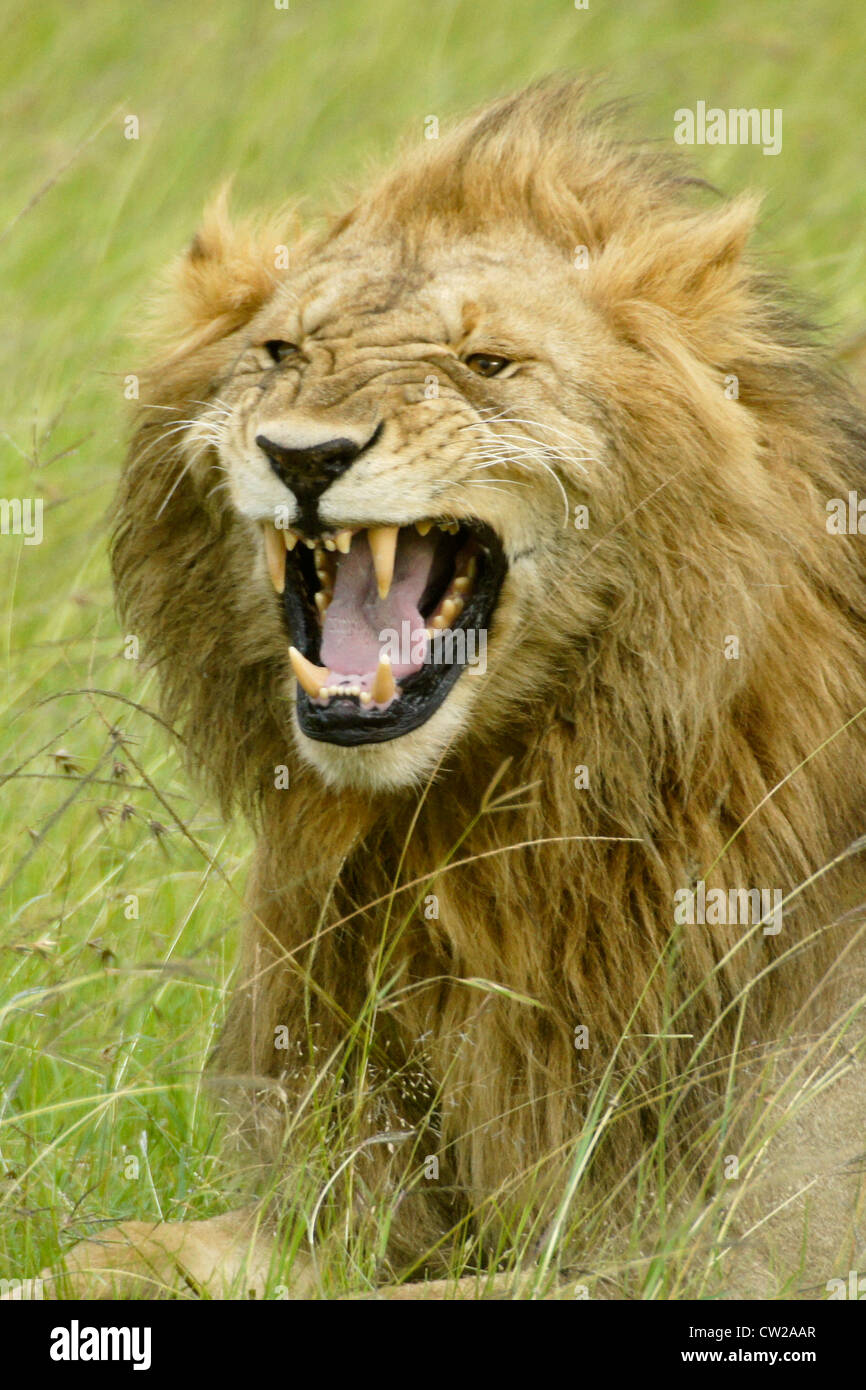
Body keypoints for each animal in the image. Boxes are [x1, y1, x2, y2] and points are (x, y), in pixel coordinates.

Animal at [36, 78, 866, 1299]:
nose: (304, 455)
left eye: (486, 364)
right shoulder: (348, 1198)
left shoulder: (747, 1244)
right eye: (280, 349)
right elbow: (102, 1251)